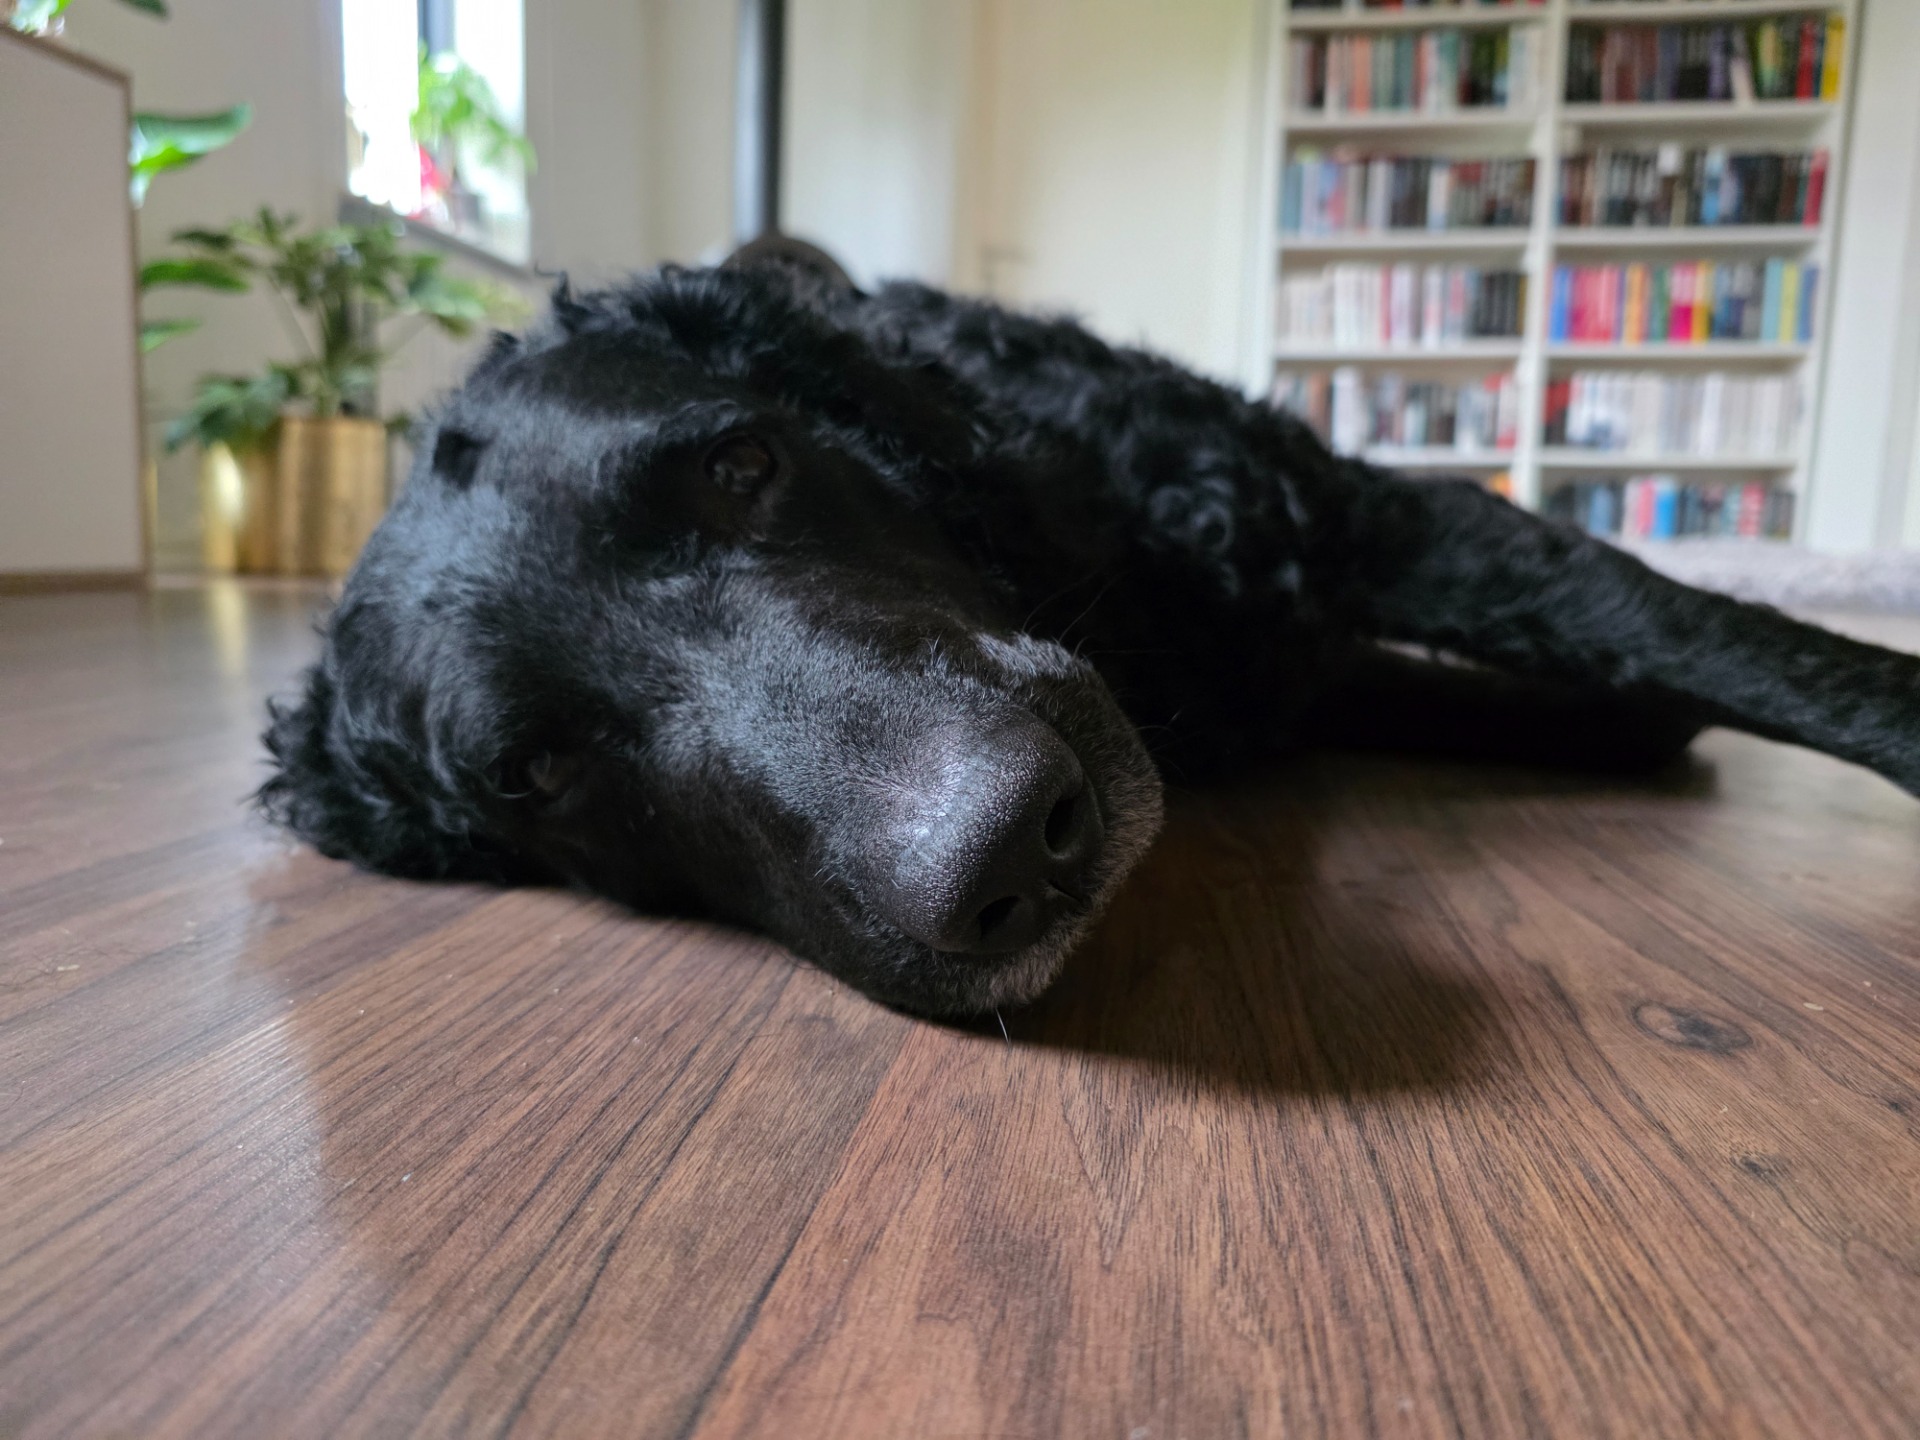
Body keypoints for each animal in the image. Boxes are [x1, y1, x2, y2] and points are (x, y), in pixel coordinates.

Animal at [261, 249, 1920, 1017]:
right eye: (532, 774)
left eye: (743, 461)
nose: (1008, 847)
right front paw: (1623, 725)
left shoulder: (1366, 517)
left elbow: (1698, 630)